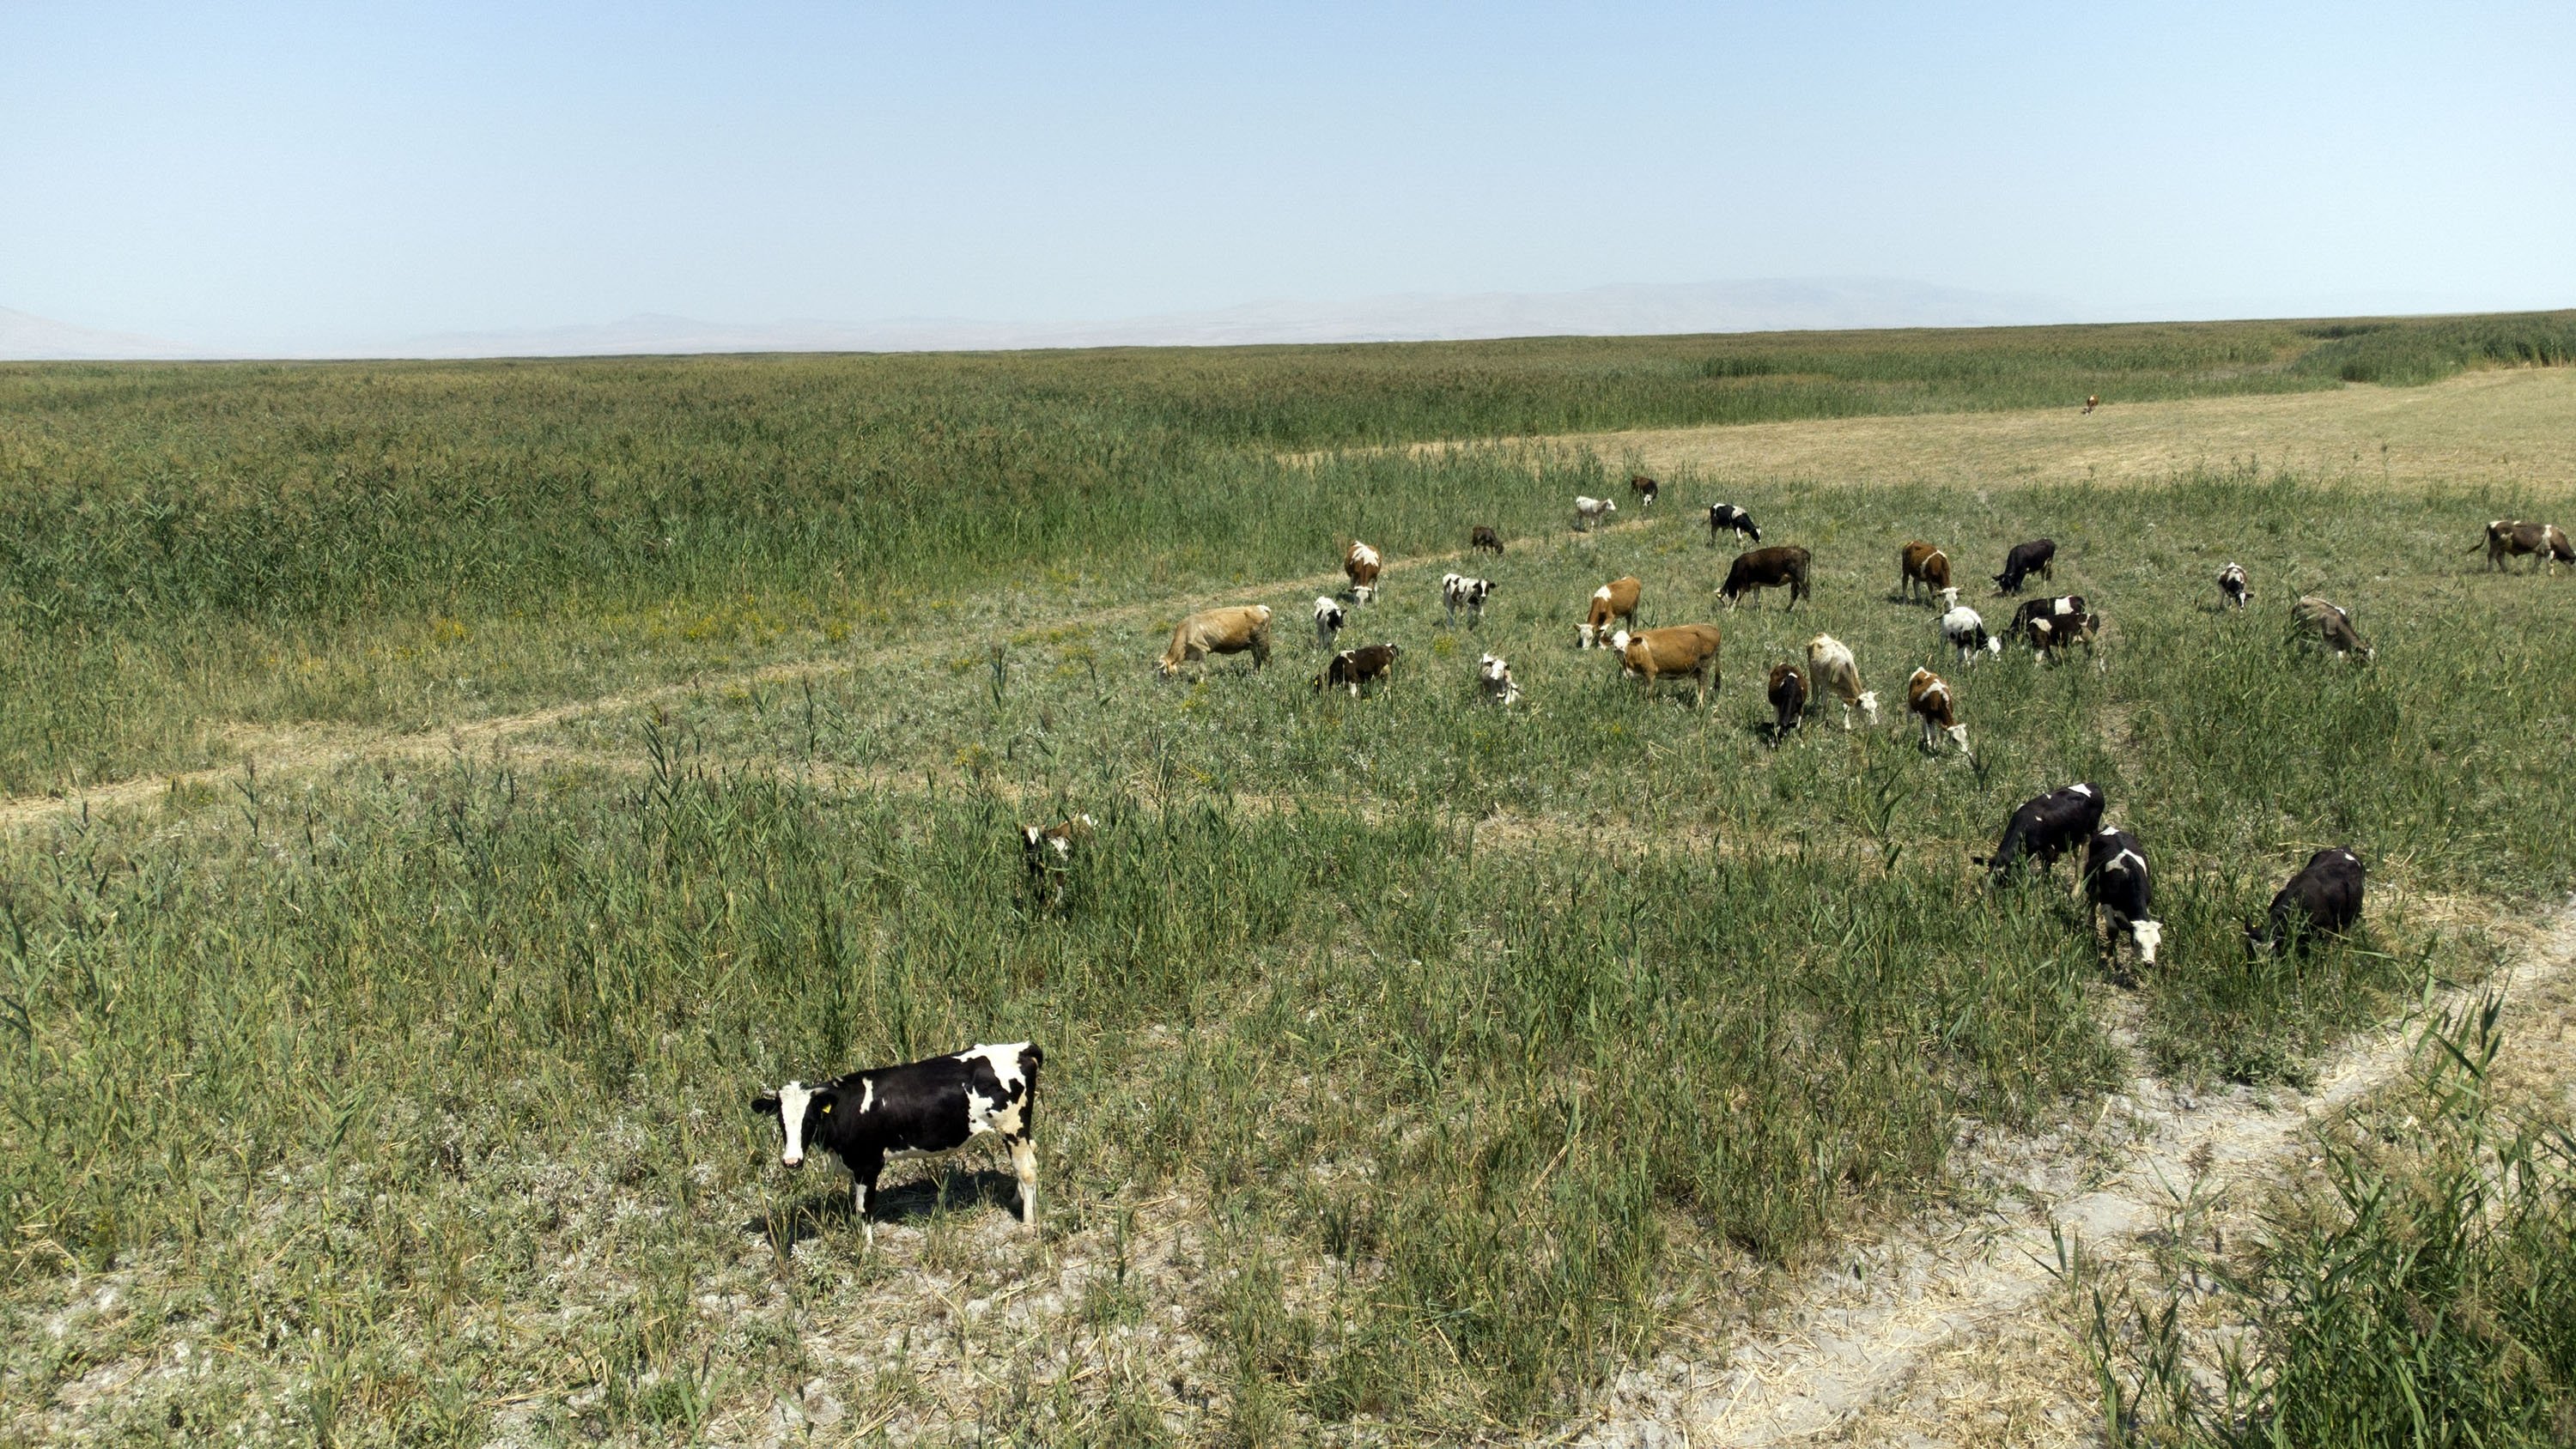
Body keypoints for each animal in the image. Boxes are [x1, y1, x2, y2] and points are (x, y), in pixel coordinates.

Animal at [752, 1045, 1041, 1246]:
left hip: (1013, 1127)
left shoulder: (868, 1164)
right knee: (1026, 1161)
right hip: (1014, 1132)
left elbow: (863, 1208)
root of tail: (1021, 1048)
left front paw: (867, 1249)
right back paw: (1017, 1200)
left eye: (810, 1120)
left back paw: (1028, 1226)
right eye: (781, 1121)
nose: (791, 1161)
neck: (847, 1109)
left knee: (1027, 1170)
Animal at [1978, 782, 2102, 885]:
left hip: (2092, 830)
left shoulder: (2048, 850)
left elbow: (2045, 872)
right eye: (1989, 874)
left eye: (2005, 876)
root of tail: (2093, 784)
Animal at [2081, 828, 2164, 973]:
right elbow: (2113, 930)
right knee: (2092, 902)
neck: (2129, 877)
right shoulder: (2106, 903)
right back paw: (2092, 924)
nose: (2149, 963)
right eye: (2136, 942)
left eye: (2157, 944)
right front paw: (2111, 955)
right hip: (2092, 885)